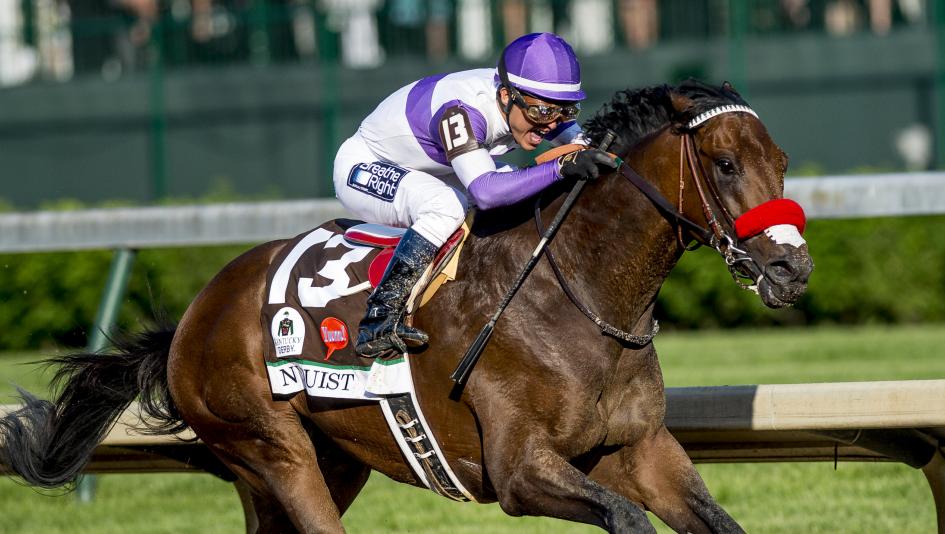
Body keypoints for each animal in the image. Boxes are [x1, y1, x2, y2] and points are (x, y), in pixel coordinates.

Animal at [0, 80, 812, 534]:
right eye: (724, 163)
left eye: (781, 161)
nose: (792, 267)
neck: (578, 296)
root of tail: (192, 318)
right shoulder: (518, 471)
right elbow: (622, 516)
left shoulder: (640, 450)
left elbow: (714, 520)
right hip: (274, 449)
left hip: (325, 462)